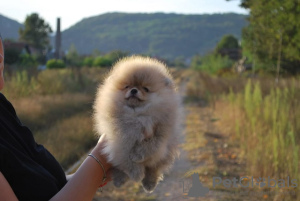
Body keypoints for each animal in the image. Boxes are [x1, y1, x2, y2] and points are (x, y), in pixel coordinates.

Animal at [93, 55, 180, 193]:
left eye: (145, 89)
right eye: (127, 86)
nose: (134, 90)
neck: (137, 116)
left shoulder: (162, 133)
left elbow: (153, 145)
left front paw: (137, 155)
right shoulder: (121, 139)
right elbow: (126, 158)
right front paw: (136, 173)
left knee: (154, 169)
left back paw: (149, 183)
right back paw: (119, 179)